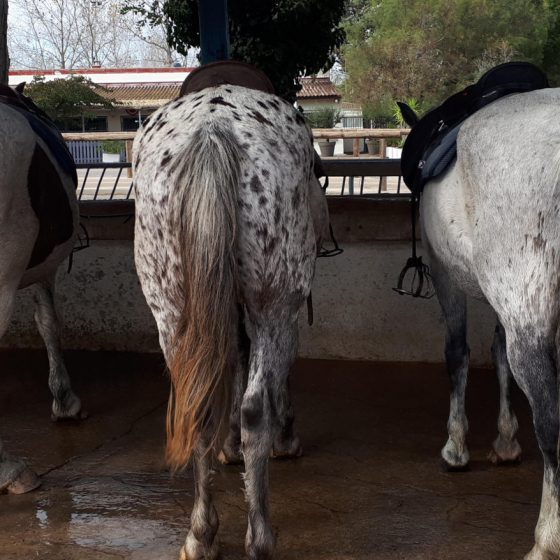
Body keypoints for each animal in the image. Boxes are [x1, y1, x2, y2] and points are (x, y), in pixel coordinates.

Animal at [134, 66, 330, 560]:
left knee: (199, 404)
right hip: (273, 306)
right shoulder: (284, 314)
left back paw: (201, 535)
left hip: (171, 313)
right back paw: (259, 537)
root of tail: (212, 131)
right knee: (255, 405)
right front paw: (284, 438)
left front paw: (229, 447)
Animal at [402, 89, 560, 556]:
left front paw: (456, 447)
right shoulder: (503, 302)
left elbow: (458, 354)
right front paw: (505, 442)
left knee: (550, 426)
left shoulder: (444, 275)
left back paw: (546, 540)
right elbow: (497, 353)